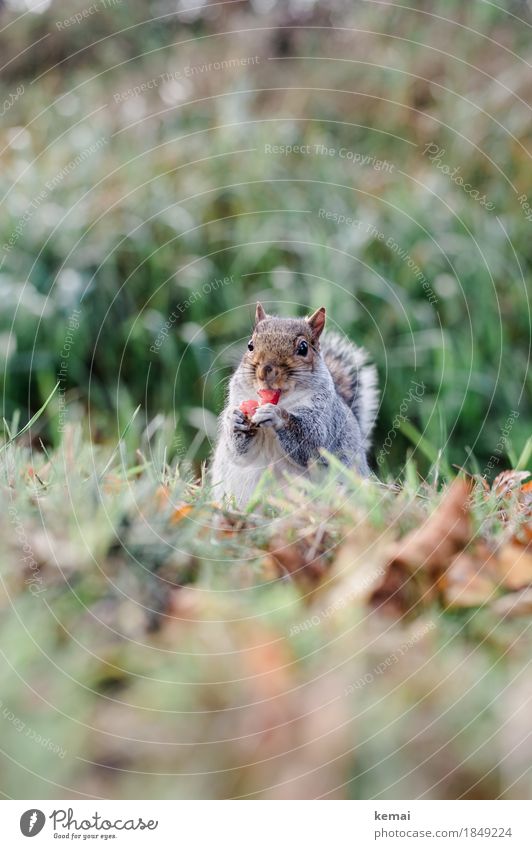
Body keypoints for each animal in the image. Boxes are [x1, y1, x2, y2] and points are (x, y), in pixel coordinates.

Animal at [209, 304, 378, 504]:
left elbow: (312, 443)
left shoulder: (325, 416)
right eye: (250, 345)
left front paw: (276, 416)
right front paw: (234, 419)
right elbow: (237, 452)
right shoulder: (239, 397)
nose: (266, 370)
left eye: (303, 348)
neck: (282, 400)